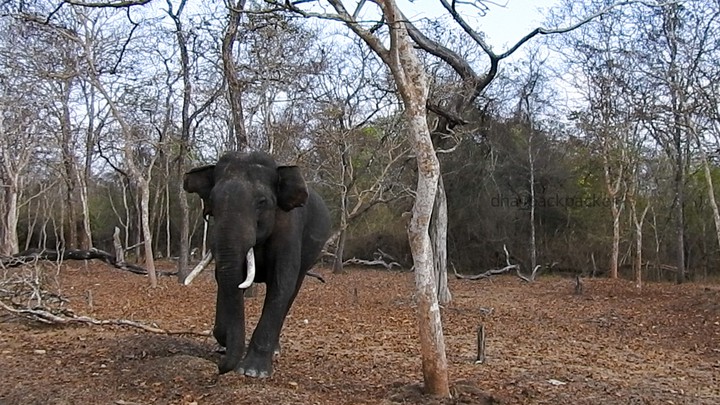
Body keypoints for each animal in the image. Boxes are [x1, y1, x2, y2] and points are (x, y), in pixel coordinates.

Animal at [183, 151, 331, 378]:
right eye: (212, 202)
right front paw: (224, 341)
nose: (219, 367)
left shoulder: (290, 229)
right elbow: (228, 279)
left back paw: (274, 351)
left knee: (292, 291)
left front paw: (253, 371)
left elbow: (281, 283)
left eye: (261, 202)